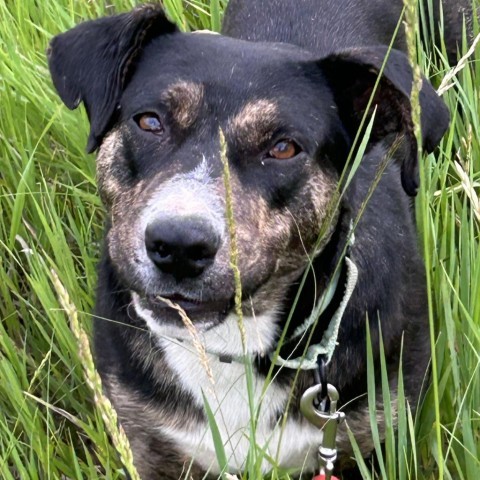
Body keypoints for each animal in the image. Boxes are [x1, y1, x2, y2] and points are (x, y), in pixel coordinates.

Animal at [47, 1, 456, 478]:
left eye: (283, 147)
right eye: (149, 121)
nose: (179, 246)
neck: (232, 347)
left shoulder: (369, 438)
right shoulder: (150, 443)